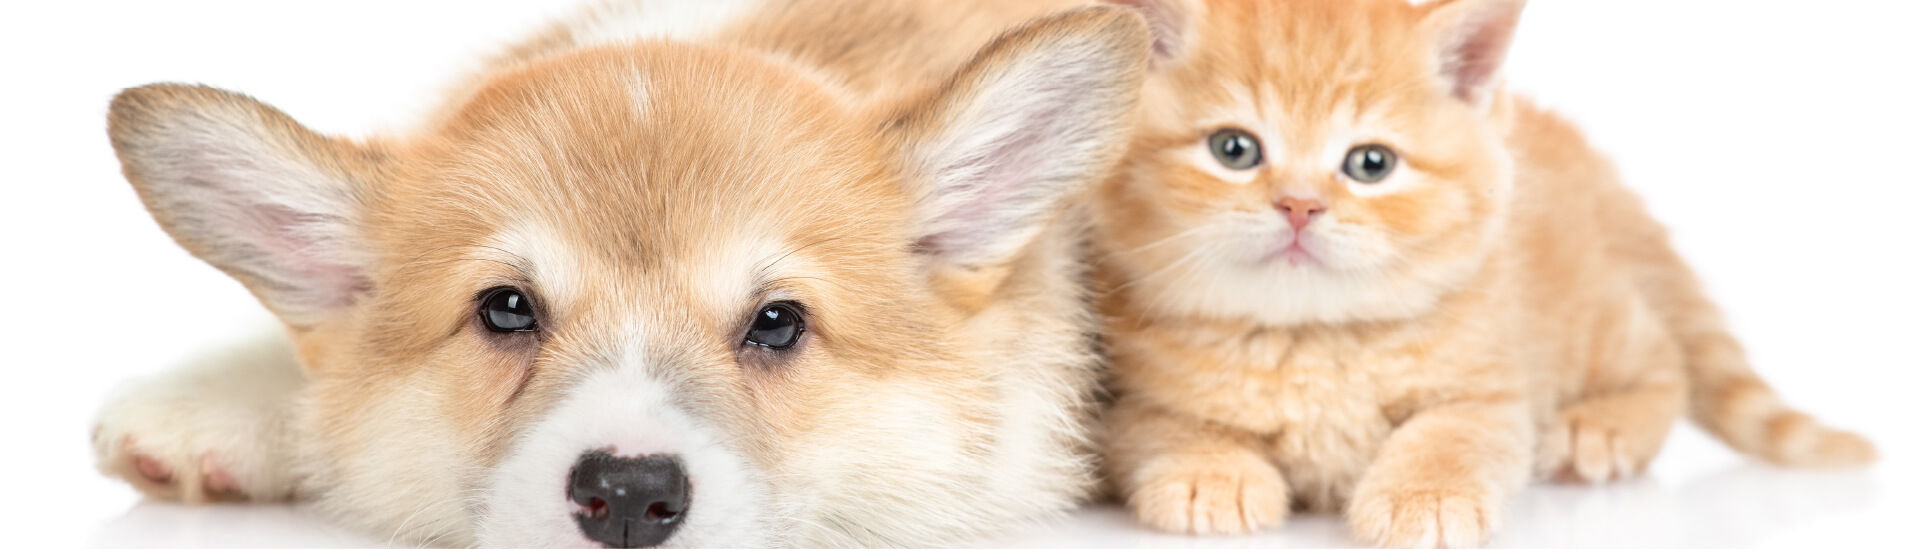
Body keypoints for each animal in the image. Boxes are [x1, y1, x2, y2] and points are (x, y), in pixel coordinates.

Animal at [1092, 0, 1877, 546]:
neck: (1314, 337)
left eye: (1370, 163)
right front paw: (1207, 475)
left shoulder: (1494, 389)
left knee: (1665, 362)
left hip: (1588, 323)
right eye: (1234, 149)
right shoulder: (1131, 405)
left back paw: (1599, 429)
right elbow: (1167, 431)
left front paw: (1426, 498)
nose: (1299, 205)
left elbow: (1453, 436)